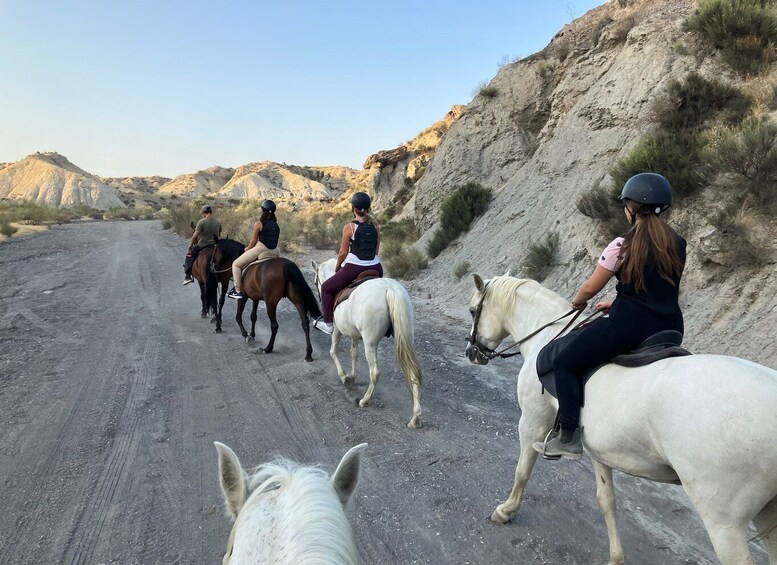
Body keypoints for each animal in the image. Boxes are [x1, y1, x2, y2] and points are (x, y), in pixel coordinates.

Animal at [312, 258, 422, 426]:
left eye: (315, 281)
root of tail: (390, 289)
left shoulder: (337, 330)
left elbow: (333, 351)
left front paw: (344, 376)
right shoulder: (355, 335)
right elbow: (353, 354)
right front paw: (352, 376)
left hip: (370, 343)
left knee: (375, 373)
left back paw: (365, 400)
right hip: (406, 336)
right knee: (412, 372)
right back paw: (415, 417)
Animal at [464, 276, 776, 564]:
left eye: (472, 310)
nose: (471, 352)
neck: (548, 335)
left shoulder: (532, 420)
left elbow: (522, 471)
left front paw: (506, 511)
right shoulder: (598, 449)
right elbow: (606, 501)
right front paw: (615, 557)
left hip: (724, 524)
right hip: (767, 512)